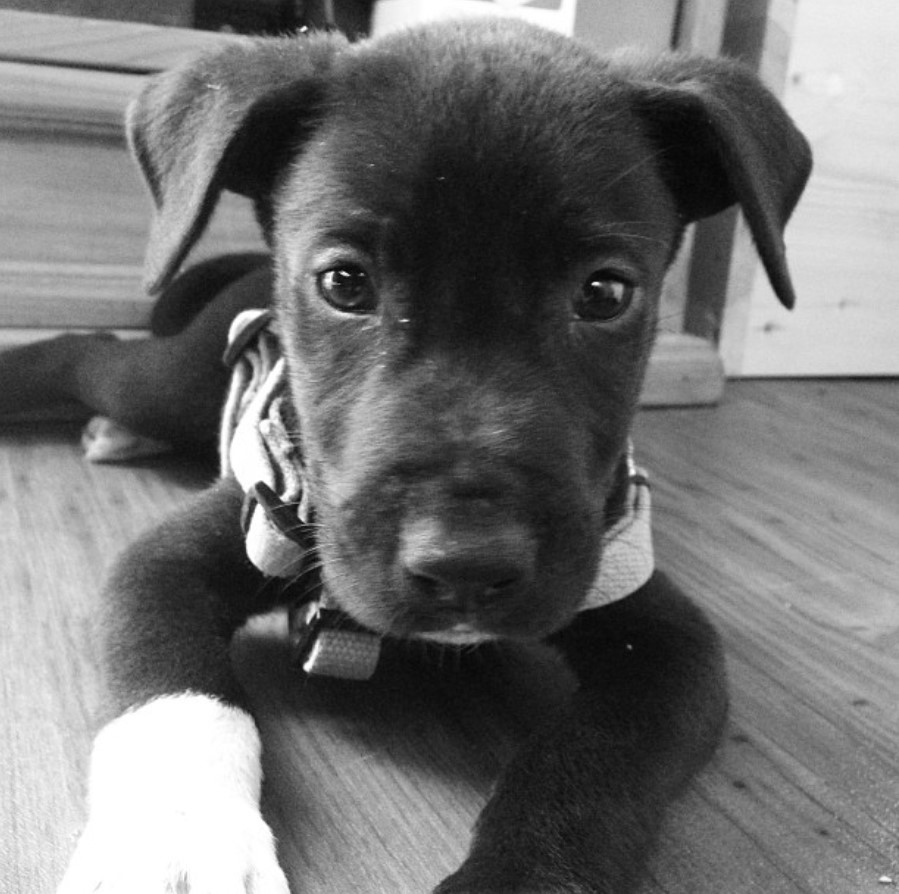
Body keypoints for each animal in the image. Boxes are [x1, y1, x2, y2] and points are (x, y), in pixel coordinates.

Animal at [5, 15, 816, 894]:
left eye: (605, 294)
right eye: (343, 283)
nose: (465, 565)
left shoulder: (662, 636)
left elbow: (590, 760)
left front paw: (519, 876)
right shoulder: (178, 558)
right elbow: (179, 696)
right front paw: (180, 841)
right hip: (167, 378)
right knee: (84, 353)